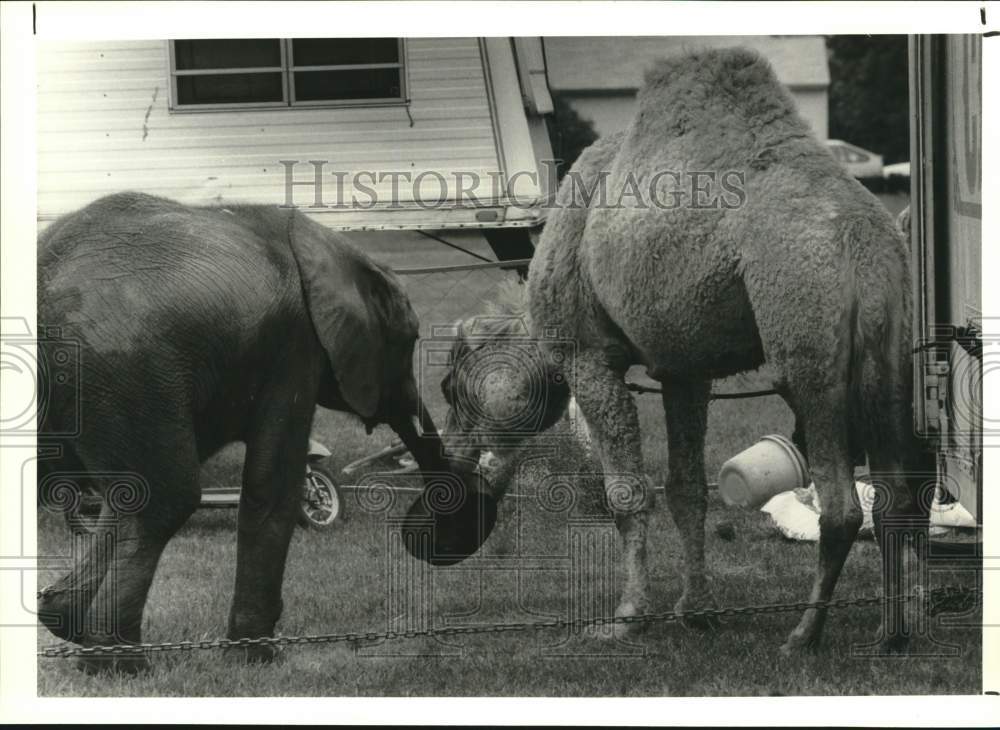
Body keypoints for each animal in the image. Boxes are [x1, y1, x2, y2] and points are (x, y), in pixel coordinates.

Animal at [446, 47, 928, 648]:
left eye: (450, 386)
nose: (451, 458)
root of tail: (862, 238)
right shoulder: (684, 369)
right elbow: (687, 490)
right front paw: (696, 609)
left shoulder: (587, 355)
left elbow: (627, 494)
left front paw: (625, 618)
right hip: (891, 354)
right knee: (896, 498)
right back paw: (891, 632)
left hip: (806, 342)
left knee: (840, 507)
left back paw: (803, 634)